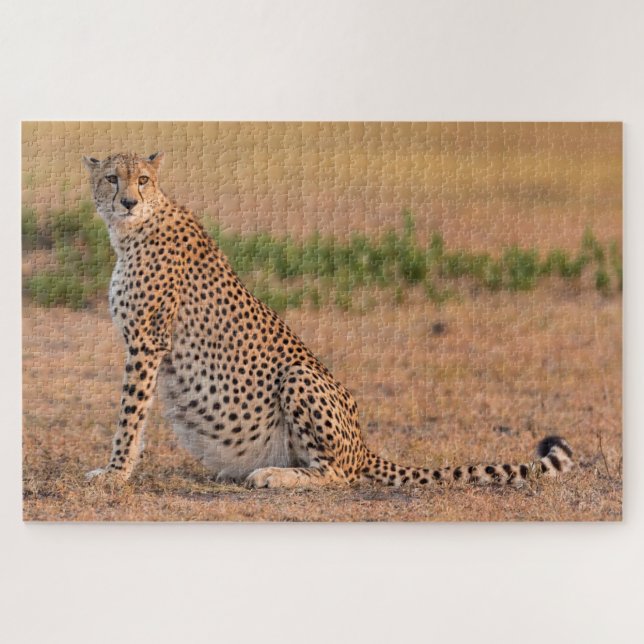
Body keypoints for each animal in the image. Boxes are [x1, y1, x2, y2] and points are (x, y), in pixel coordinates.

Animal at [83, 152, 574, 489]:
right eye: (111, 178)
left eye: (142, 179)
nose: (127, 201)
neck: (132, 231)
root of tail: (364, 445)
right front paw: (117, 471)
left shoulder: (147, 342)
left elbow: (129, 416)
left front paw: (114, 473)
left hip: (300, 376)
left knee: (337, 474)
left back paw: (275, 476)